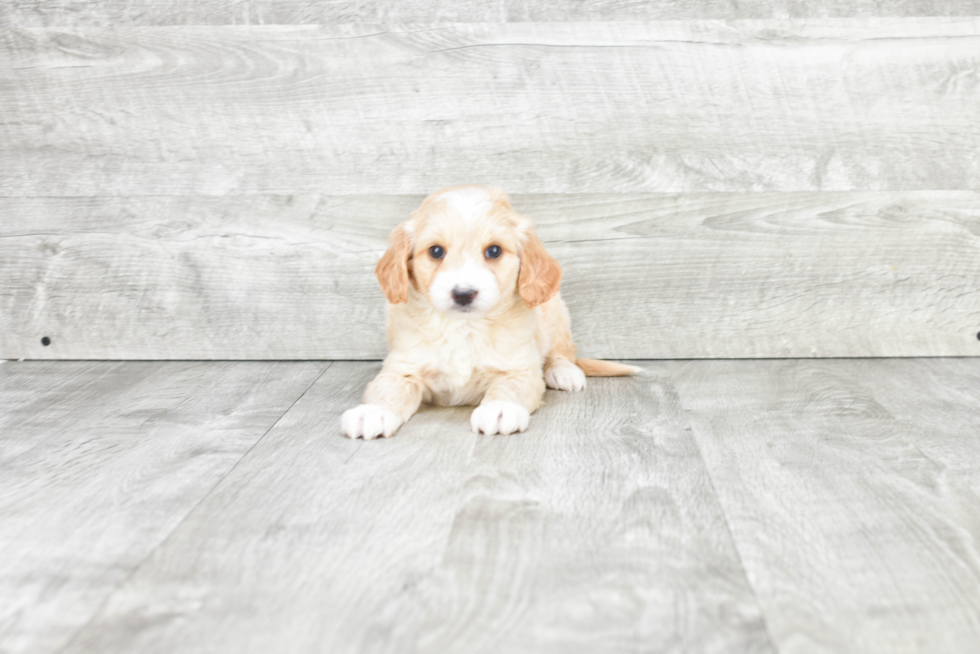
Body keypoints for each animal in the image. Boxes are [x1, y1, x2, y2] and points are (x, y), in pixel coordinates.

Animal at [340, 184, 640, 440]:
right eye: (436, 251)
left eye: (494, 251)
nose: (463, 294)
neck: (463, 327)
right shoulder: (403, 367)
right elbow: (386, 389)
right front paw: (374, 412)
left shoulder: (520, 368)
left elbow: (510, 387)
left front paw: (500, 408)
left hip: (555, 310)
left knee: (562, 351)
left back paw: (563, 371)